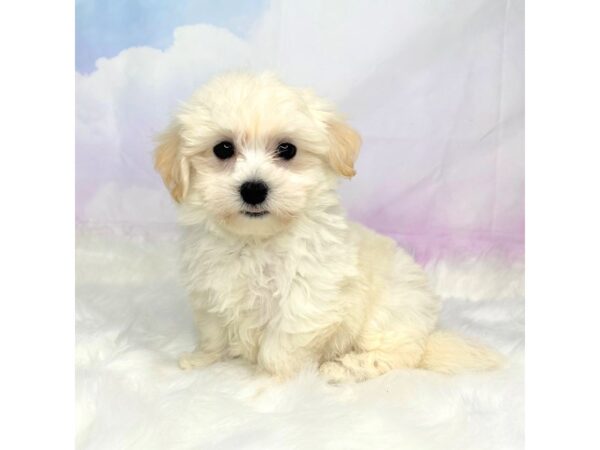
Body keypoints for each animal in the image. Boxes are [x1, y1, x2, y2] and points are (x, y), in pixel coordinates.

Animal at [155, 72, 502, 382]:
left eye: (287, 149)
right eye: (223, 149)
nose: (254, 189)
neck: (254, 241)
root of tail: (428, 334)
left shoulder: (305, 299)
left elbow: (279, 348)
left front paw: (267, 382)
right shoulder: (210, 292)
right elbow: (213, 332)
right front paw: (203, 360)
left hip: (389, 316)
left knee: (396, 356)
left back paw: (343, 368)